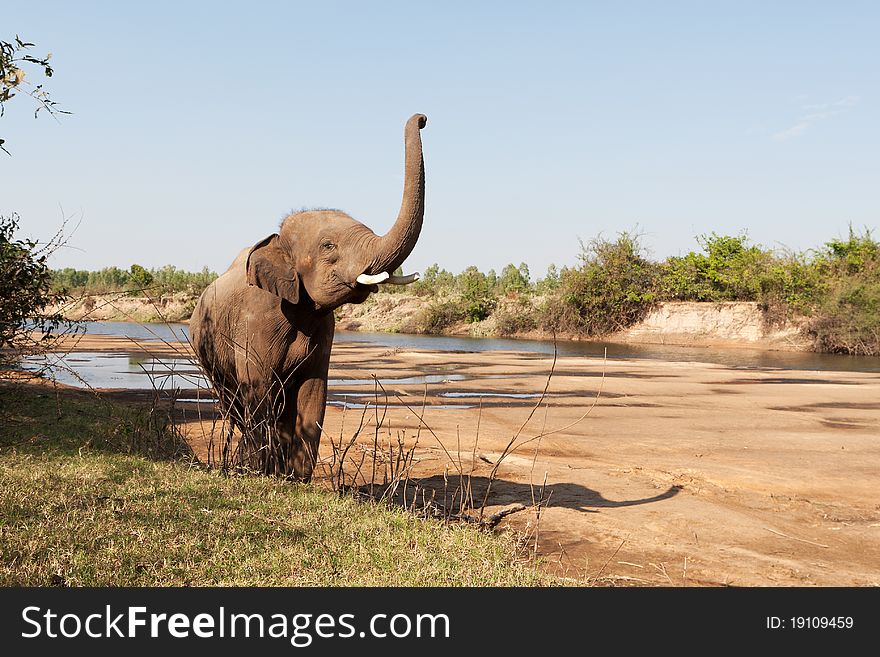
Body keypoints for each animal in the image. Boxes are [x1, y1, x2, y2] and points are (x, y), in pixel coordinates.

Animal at [191, 113, 428, 482]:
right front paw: (264, 473)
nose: (422, 119)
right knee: (234, 403)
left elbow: (313, 391)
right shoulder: (255, 322)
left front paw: (296, 479)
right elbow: (260, 389)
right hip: (207, 352)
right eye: (328, 246)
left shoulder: (322, 327)